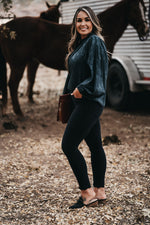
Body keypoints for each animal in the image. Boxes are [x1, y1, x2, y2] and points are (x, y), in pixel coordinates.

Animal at [0, 0, 148, 118]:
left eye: (145, 9)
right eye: (135, 9)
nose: (145, 30)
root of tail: (6, 27)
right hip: (18, 64)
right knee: (12, 85)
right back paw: (19, 113)